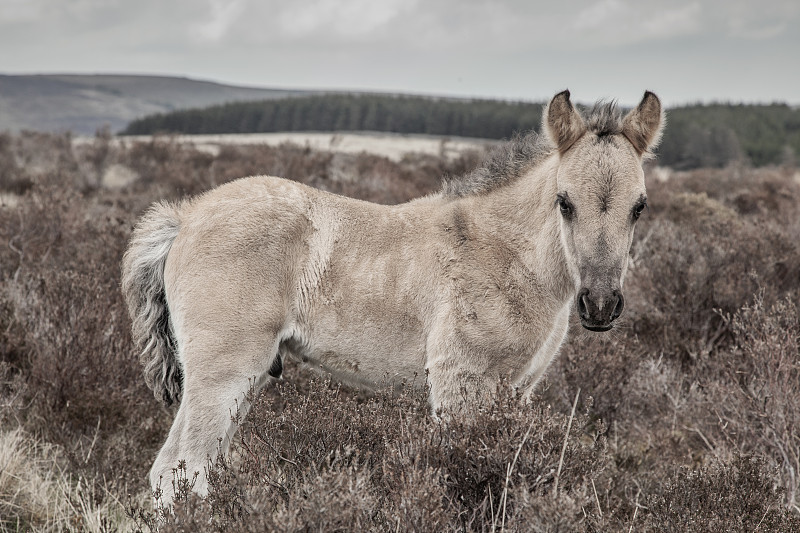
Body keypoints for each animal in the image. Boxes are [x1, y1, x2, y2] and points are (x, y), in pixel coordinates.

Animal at [122, 88, 664, 498]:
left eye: (639, 207)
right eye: (564, 202)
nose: (600, 305)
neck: (503, 250)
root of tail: (185, 217)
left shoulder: (516, 391)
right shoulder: (458, 383)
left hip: (244, 381)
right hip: (223, 375)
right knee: (179, 472)